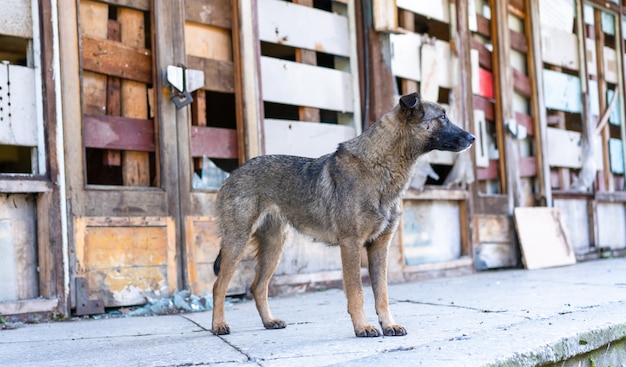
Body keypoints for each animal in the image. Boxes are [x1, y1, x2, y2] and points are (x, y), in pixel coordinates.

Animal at [210, 92, 472, 340]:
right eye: (443, 117)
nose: (472, 138)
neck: (380, 166)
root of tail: (233, 173)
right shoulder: (351, 245)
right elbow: (357, 293)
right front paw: (363, 327)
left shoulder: (379, 246)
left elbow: (382, 294)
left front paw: (388, 325)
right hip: (237, 243)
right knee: (219, 286)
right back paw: (218, 325)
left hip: (273, 247)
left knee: (258, 286)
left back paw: (269, 321)